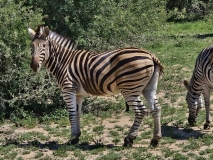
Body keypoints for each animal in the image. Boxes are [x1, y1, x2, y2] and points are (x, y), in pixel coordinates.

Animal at [26, 25, 163, 148]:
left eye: (44, 46)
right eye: (31, 47)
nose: (34, 66)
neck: (63, 61)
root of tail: (150, 55)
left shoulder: (68, 89)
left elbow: (71, 114)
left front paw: (72, 139)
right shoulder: (78, 93)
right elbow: (77, 113)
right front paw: (77, 136)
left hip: (130, 89)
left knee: (141, 111)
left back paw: (129, 139)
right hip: (148, 88)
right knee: (156, 109)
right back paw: (155, 139)